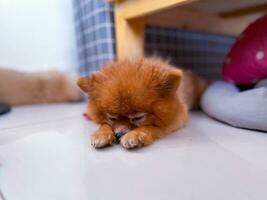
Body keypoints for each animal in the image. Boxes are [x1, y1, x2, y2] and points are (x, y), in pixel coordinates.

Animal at [77, 57, 207, 148]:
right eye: (112, 118)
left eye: (138, 118)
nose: (119, 134)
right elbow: (104, 124)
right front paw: (101, 134)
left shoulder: (175, 121)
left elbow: (149, 127)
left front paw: (136, 135)